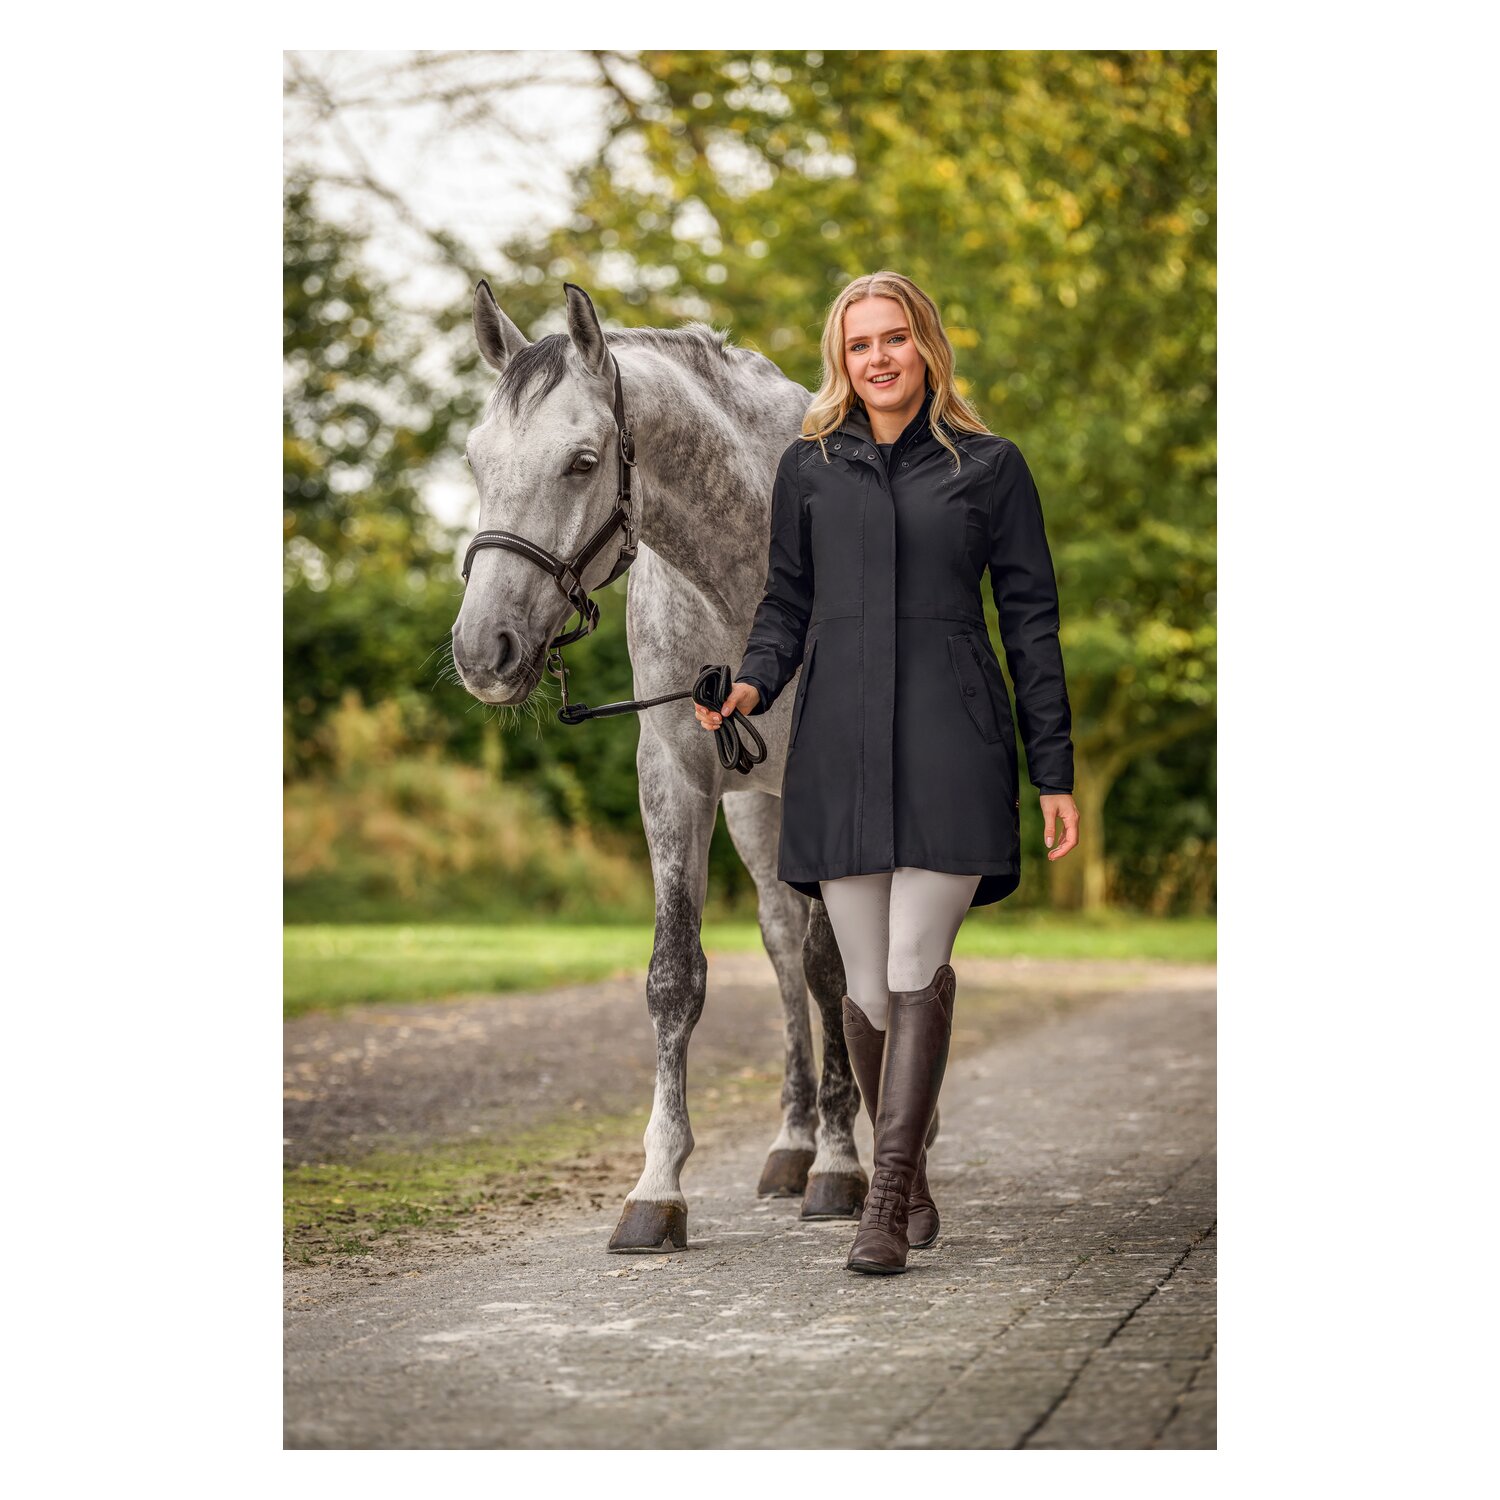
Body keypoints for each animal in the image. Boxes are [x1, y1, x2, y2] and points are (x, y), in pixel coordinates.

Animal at [450, 280, 867, 1251]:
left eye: (581, 461)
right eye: (475, 459)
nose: (483, 651)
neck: (742, 566)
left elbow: (835, 969)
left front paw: (842, 1166)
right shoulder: (676, 771)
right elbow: (677, 977)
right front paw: (657, 1189)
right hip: (756, 812)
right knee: (781, 946)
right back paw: (790, 1147)